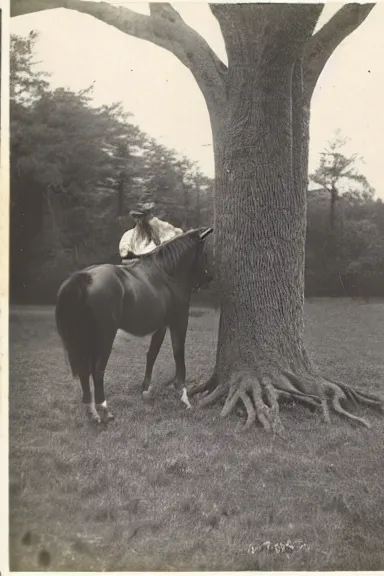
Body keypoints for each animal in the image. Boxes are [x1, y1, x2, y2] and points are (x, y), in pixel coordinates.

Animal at [54, 226, 213, 424]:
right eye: (205, 252)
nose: (210, 277)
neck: (166, 275)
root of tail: (84, 277)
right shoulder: (179, 321)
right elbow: (179, 354)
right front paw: (184, 397)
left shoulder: (161, 326)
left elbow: (152, 354)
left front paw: (145, 389)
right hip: (105, 336)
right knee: (97, 370)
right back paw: (104, 410)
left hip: (85, 336)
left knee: (84, 371)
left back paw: (92, 412)